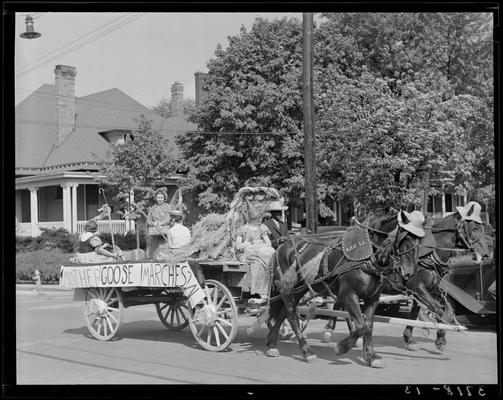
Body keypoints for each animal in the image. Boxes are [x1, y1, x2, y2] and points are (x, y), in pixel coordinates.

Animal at [266, 212, 424, 368]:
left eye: (420, 242)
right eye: (405, 238)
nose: (410, 273)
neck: (368, 258)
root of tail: (282, 246)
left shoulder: (373, 297)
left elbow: (369, 326)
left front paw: (371, 356)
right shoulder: (348, 294)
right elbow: (361, 326)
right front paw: (342, 347)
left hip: (299, 289)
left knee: (283, 312)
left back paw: (272, 343)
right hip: (288, 288)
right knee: (291, 315)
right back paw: (306, 351)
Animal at [322, 206, 492, 350]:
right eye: (474, 228)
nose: (486, 254)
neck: (429, 254)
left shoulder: (425, 289)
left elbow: (423, 311)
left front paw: (409, 338)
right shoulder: (417, 287)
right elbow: (436, 309)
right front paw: (440, 338)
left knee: (340, 302)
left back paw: (340, 331)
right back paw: (332, 331)